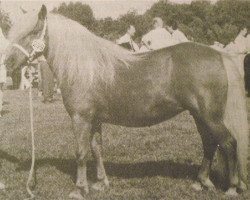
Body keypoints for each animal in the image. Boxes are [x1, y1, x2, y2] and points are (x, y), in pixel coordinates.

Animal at [3, 5, 248, 199]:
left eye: (34, 31)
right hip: (198, 115)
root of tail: (218, 55)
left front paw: (79, 189)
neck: (85, 68)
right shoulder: (94, 120)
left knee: (228, 143)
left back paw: (232, 187)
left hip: (210, 116)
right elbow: (96, 149)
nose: (7, 63)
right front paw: (101, 183)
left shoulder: (81, 118)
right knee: (209, 144)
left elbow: (81, 152)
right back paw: (201, 182)